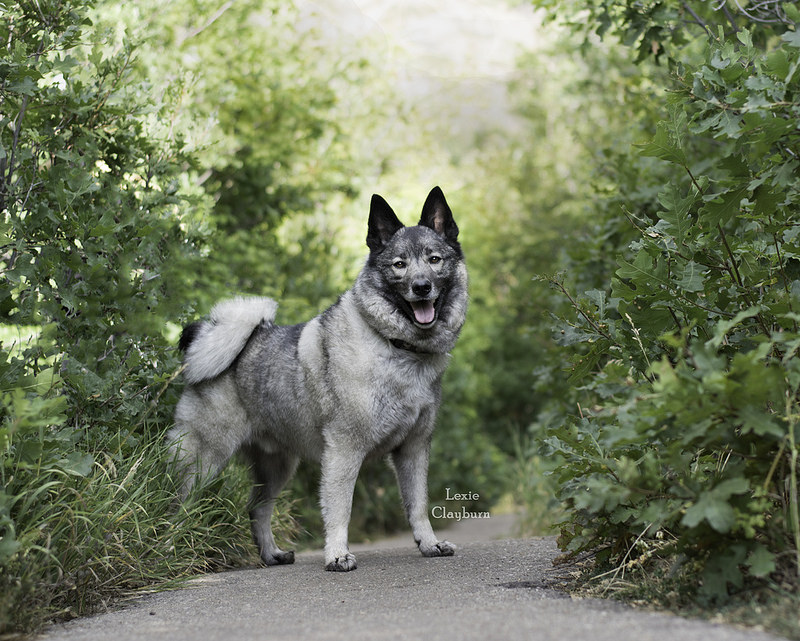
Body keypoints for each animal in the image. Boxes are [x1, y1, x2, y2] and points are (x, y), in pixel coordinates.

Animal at [169, 186, 468, 568]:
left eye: (434, 260)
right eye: (399, 265)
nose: (421, 287)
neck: (396, 346)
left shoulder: (413, 450)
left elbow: (417, 506)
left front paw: (429, 544)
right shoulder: (344, 449)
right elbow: (340, 508)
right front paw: (337, 555)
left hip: (277, 467)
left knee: (257, 509)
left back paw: (271, 554)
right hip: (205, 462)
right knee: (180, 506)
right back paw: (173, 550)